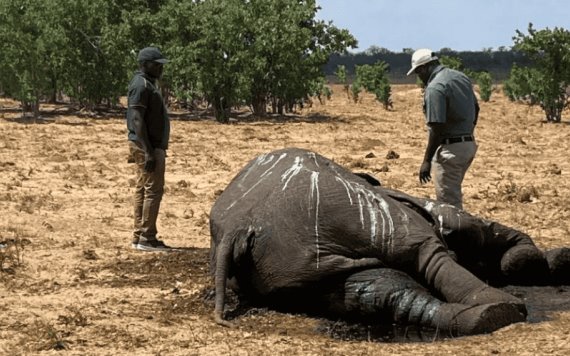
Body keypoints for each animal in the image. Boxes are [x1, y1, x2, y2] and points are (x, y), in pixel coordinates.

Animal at [210, 146, 568, 336]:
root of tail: (240, 226)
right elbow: (474, 230)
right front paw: (538, 261)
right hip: (351, 213)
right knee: (426, 252)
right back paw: (500, 309)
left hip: (294, 267)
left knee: (380, 293)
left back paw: (484, 315)